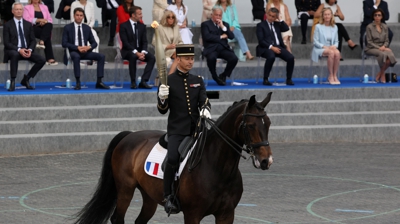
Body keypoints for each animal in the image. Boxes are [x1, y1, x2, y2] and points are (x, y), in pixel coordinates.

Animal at [74, 93, 276, 224]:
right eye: (250, 125)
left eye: (268, 123)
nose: (266, 161)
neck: (218, 168)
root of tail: (129, 135)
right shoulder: (193, 215)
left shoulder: (226, 214)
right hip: (125, 190)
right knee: (117, 218)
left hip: (149, 196)